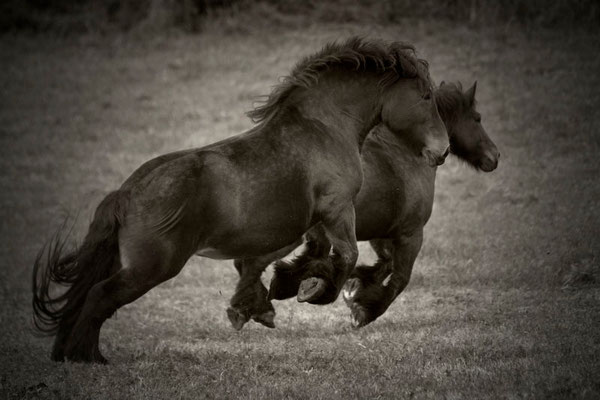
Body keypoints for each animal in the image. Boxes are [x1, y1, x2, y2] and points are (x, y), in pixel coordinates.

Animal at [30, 37, 448, 362]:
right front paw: (315, 293)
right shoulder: (337, 209)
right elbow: (345, 257)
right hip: (151, 267)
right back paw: (88, 358)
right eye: (426, 96)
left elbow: (289, 259)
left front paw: (276, 294)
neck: (323, 130)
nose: (441, 152)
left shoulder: (308, 224)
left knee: (81, 296)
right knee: (99, 295)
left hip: (125, 261)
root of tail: (126, 194)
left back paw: (66, 354)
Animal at [227, 82, 500, 332]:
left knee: (249, 263)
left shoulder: (382, 233)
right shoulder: (411, 232)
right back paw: (255, 309)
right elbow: (400, 278)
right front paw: (363, 310)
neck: (402, 153)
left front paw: (351, 288)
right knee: (250, 263)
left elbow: (383, 264)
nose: (494, 157)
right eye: (477, 118)